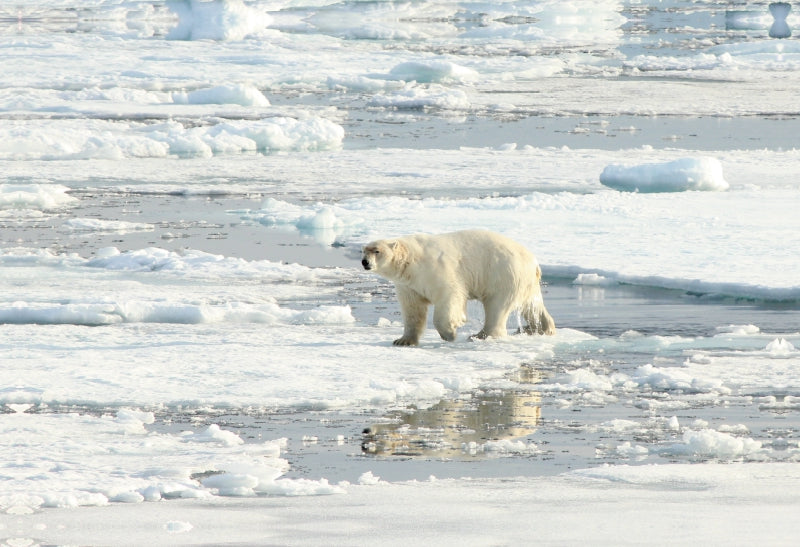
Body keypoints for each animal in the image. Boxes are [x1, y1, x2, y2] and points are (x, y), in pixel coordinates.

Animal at [362, 231, 556, 346]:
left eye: (377, 251)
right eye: (363, 250)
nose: (365, 262)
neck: (412, 260)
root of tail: (534, 262)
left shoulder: (436, 270)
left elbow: (449, 296)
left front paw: (450, 333)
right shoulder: (408, 284)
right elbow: (413, 309)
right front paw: (402, 340)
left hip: (504, 273)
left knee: (497, 306)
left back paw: (480, 335)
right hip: (524, 280)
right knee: (530, 304)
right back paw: (541, 328)